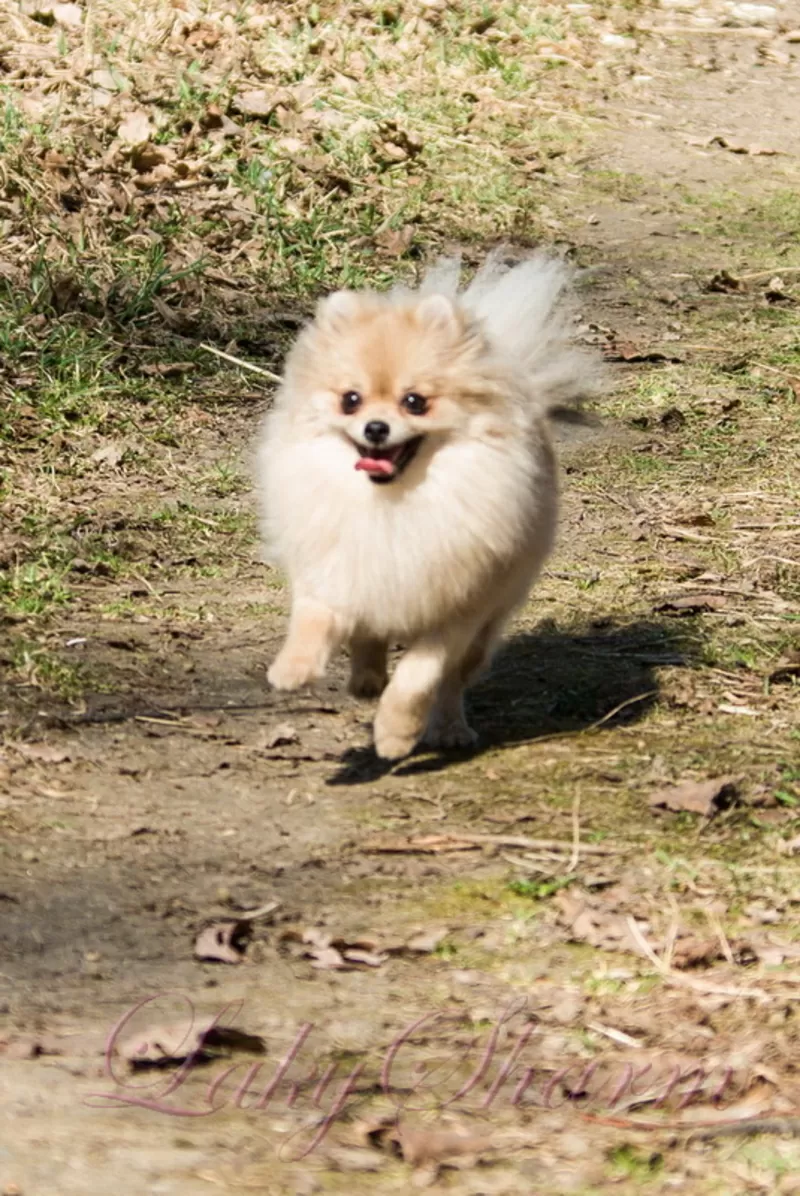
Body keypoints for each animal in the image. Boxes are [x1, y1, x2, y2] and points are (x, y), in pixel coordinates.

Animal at [259, 252, 602, 755]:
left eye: (415, 402)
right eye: (350, 400)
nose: (376, 428)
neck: (395, 502)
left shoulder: (459, 608)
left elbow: (419, 676)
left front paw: (396, 733)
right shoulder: (336, 561)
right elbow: (315, 616)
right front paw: (294, 668)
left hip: (489, 621)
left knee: (454, 680)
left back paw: (449, 728)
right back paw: (366, 679)